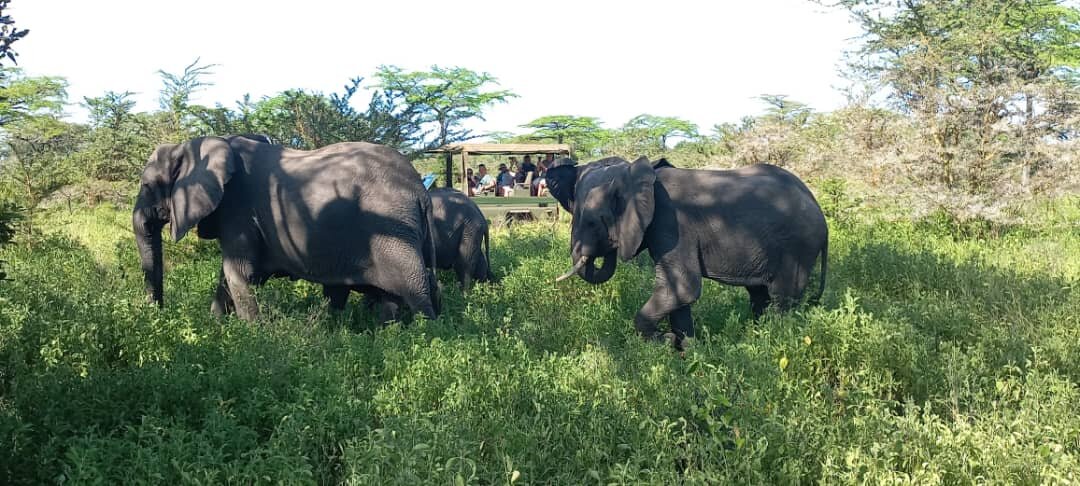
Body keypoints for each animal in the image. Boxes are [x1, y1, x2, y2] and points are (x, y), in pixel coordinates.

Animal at [133, 135, 440, 321]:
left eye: (146, 186)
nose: (158, 315)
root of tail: (420, 190)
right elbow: (228, 274)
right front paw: (217, 326)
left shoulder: (237, 209)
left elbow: (239, 272)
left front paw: (251, 335)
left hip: (394, 233)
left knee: (416, 288)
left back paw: (426, 334)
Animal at [546, 156, 828, 350]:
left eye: (592, 223)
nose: (604, 248)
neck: (634, 175)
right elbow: (678, 294)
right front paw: (687, 351)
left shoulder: (672, 223)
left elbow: (683, 289)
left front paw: (667, 342)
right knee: (759, 295)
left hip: (797, 247)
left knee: (782, 298)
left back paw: (773, 344)